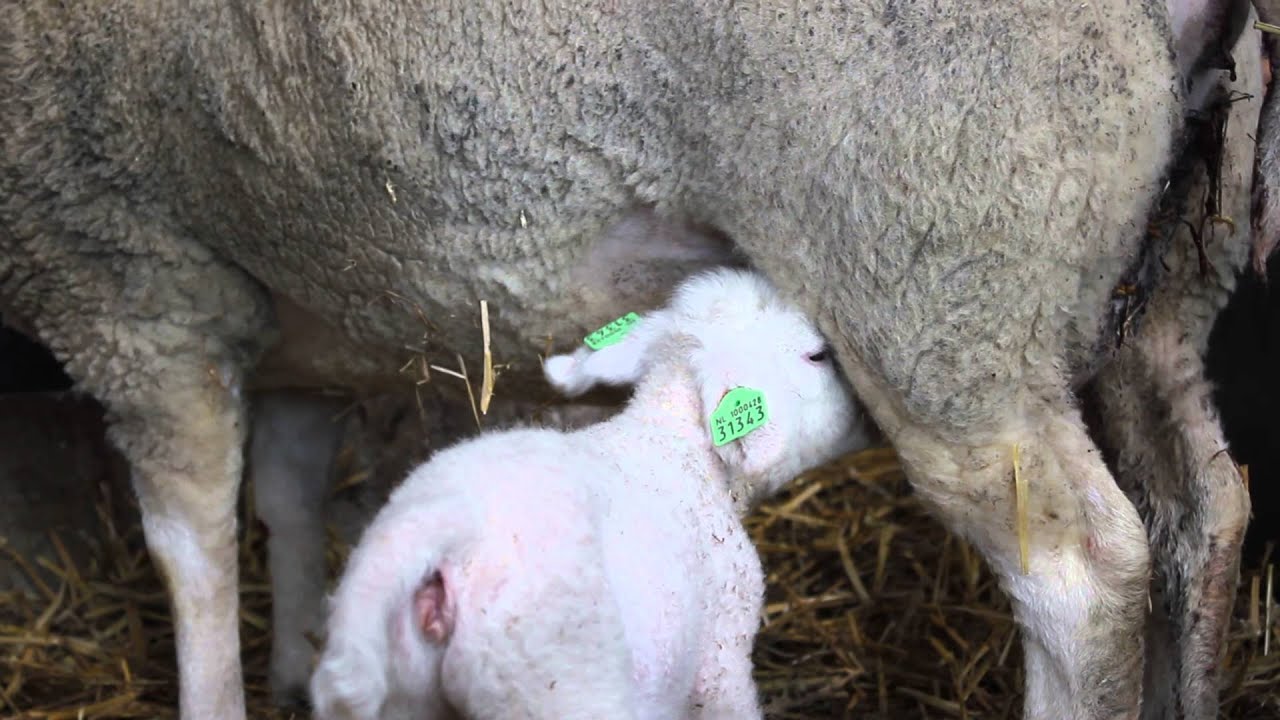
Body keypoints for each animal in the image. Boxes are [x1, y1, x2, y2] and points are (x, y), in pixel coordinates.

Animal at [309, 268, 867, 720]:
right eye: (818, 355)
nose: (865, 418)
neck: (673, 443)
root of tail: (440, 527)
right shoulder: (721, 654)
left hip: (407, 687)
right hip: (554, 682)